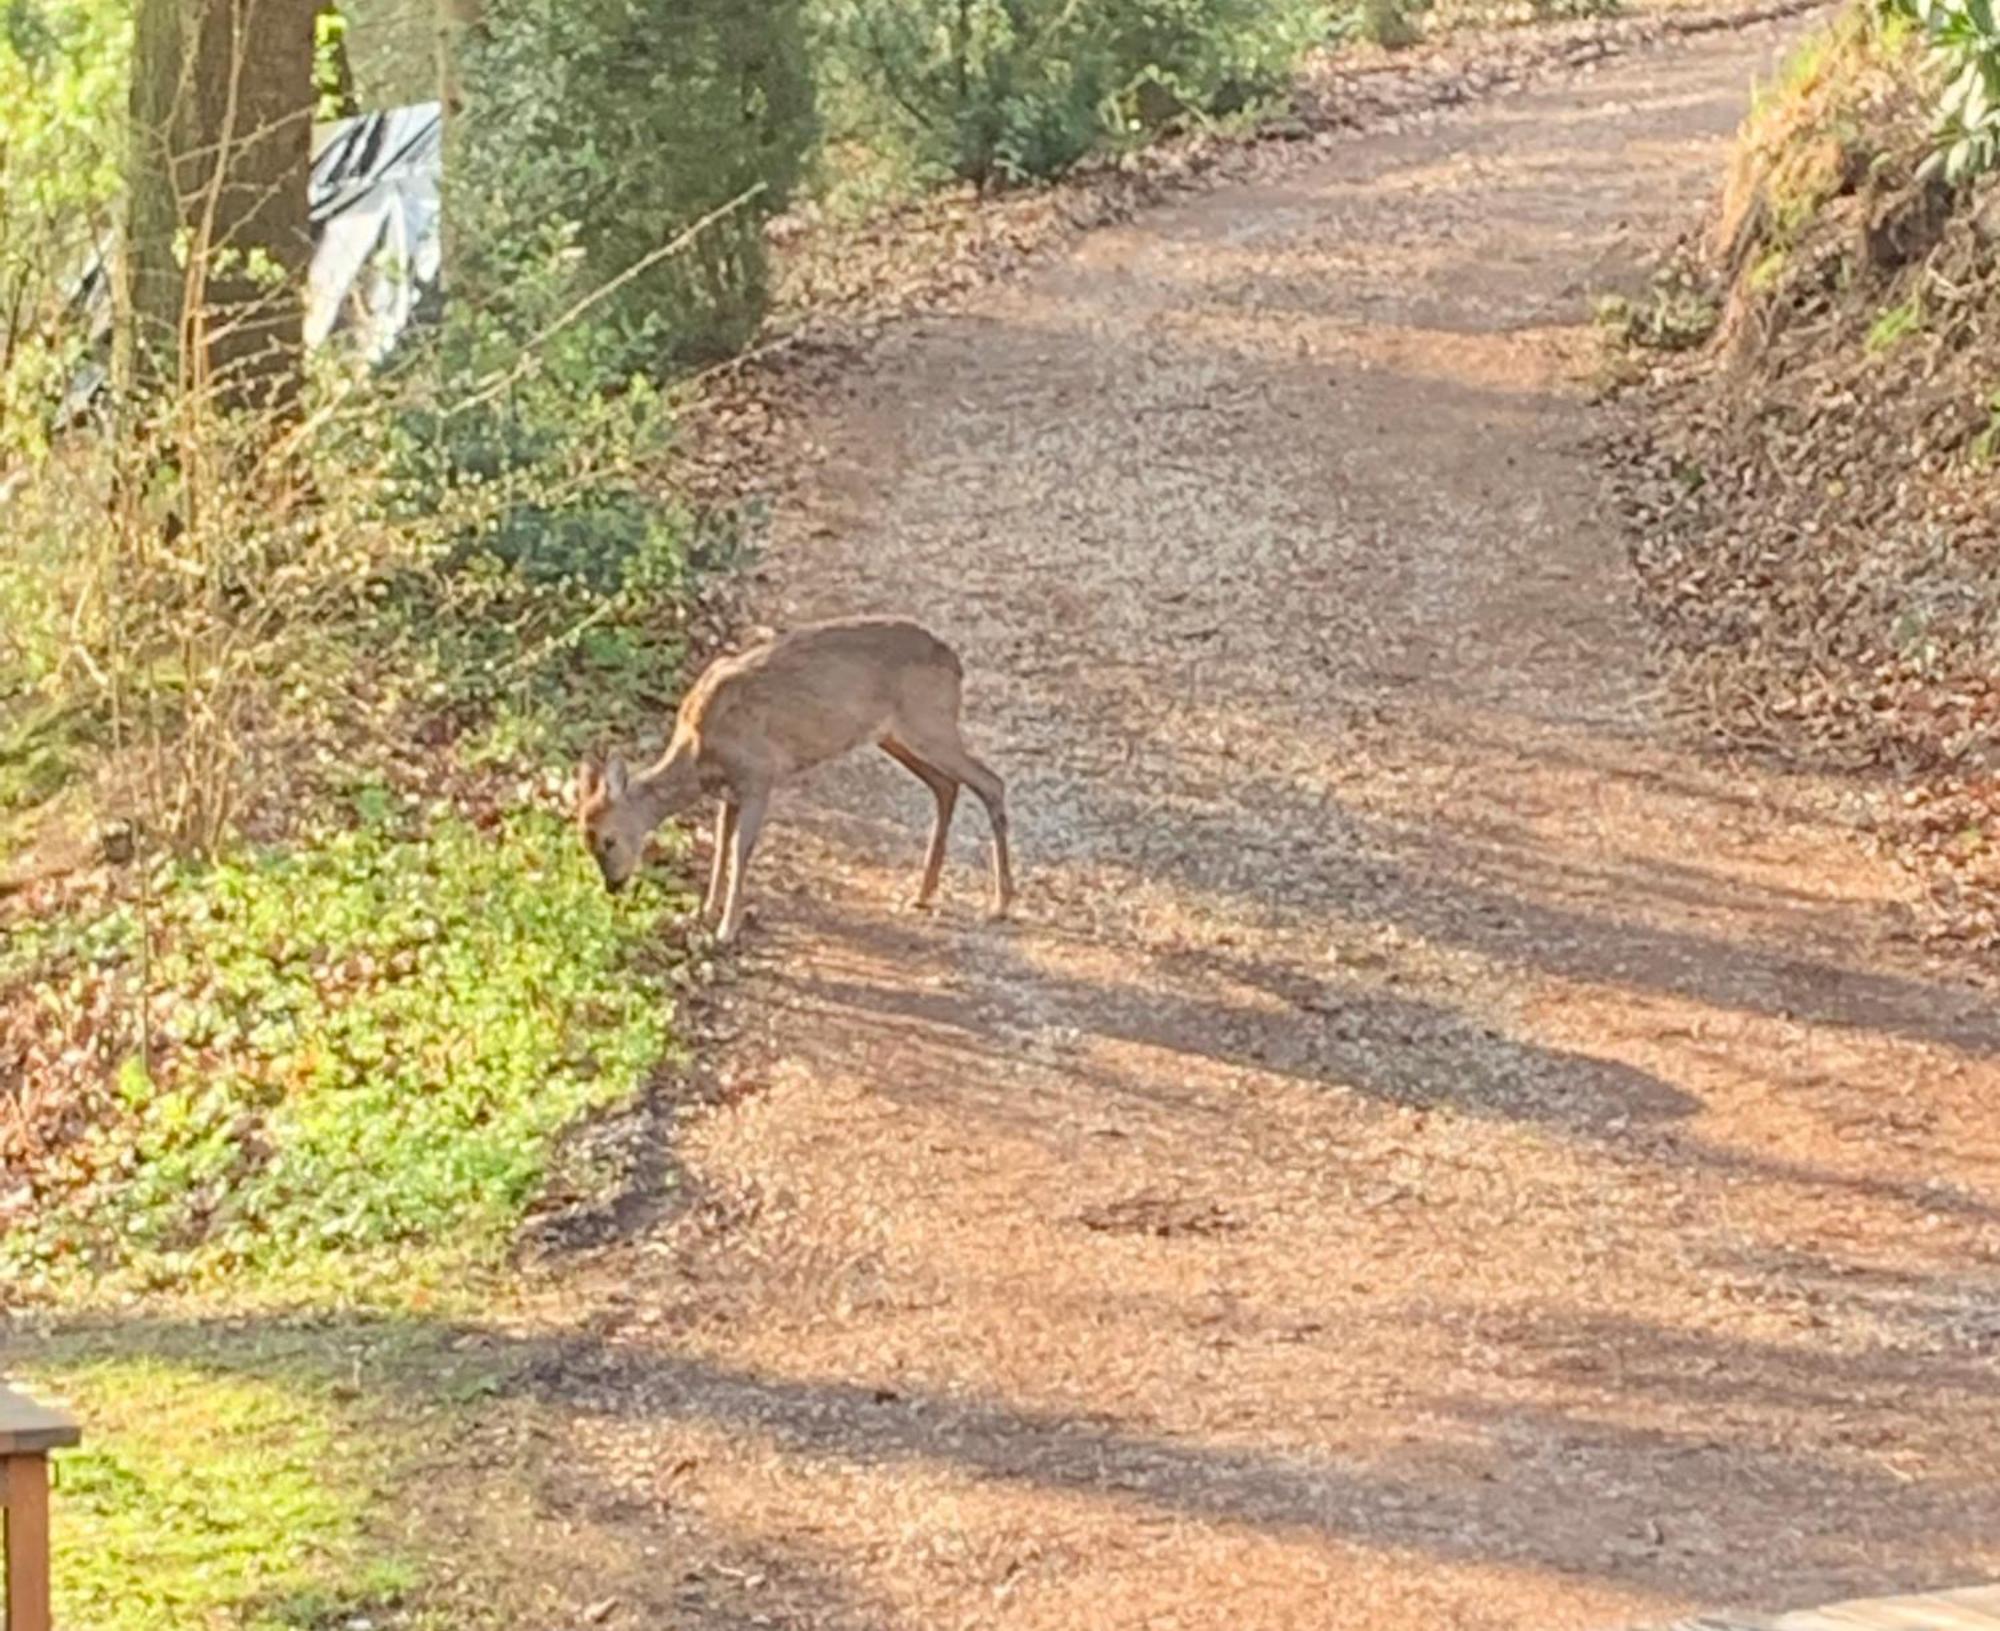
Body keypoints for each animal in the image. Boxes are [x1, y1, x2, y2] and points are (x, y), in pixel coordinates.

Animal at [580, 615, 1016, 943]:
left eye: (609, 839)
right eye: (586, 841)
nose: (613, 885)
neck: (699, 750)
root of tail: (955, 664)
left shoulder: (759, 775)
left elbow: (740, 849)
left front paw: (726, 929)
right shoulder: (730, 791)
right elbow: (721, 845)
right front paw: (704, 913)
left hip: (927, 723)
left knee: (990, 781)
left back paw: (1000, 903)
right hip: (897, 736)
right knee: (947, 785)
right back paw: (924, 894)